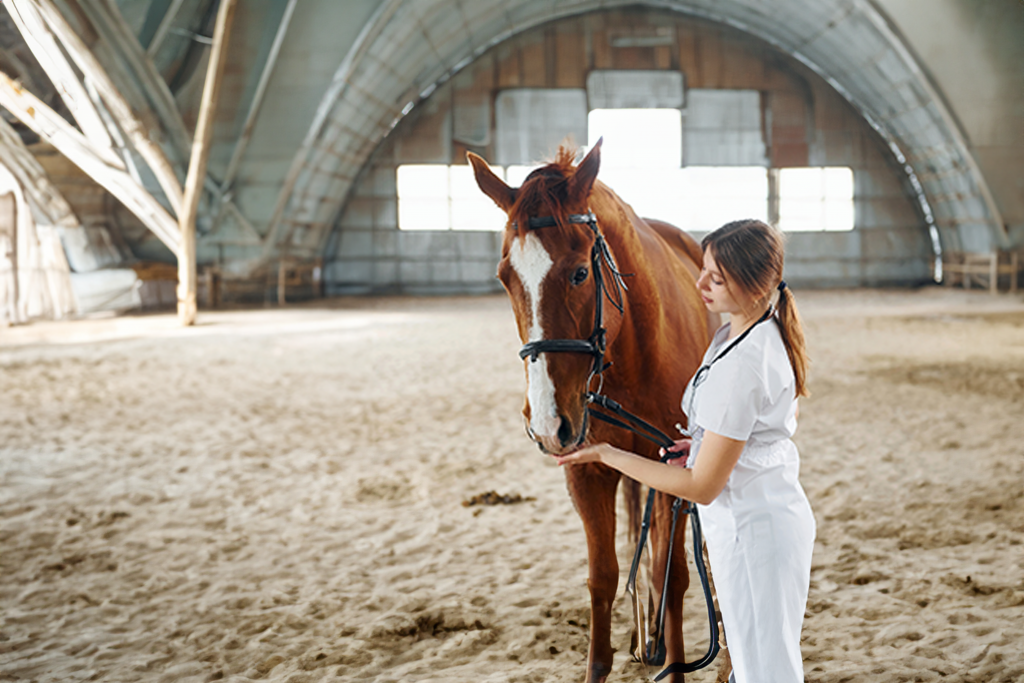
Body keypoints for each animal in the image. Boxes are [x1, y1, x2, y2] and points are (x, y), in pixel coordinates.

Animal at [468, 140, 720, 683]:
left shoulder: (676, 468)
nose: (547, 424)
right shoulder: (587, 470)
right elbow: (602, 577)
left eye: (581, 272)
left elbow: (672, 575)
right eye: (505, 278)